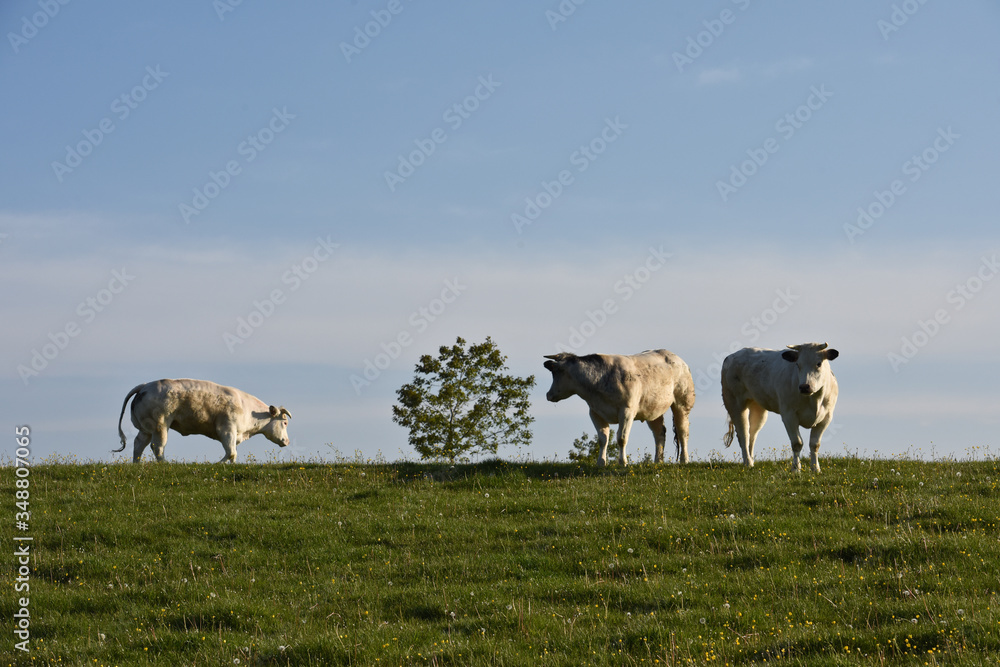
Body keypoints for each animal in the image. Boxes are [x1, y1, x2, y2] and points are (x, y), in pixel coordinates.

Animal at [115, 379, 291, 463]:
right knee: (157, 446)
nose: (287, 441)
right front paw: (217, 464)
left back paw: (136, 464)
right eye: (284, 422)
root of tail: (145, 386)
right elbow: (231, 452)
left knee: (139, 445)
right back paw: (165, 464)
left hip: (146, 428)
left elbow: (233, 455)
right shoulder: (227, 429)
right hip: (161, 425)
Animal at [543, 349, 695, 466]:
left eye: (556, 372)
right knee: (659, 433)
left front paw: (622, 462)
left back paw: (684, 460)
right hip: (653, 410)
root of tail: (676, 358)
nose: (548, 395)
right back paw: (658, 461)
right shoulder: (595, 412)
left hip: (682, 403)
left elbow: (621, 438)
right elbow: (602, 439)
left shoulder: (627, 410)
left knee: (683, 432)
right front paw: (601, 463)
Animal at [721, 342, 839, 472]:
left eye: (819, 363)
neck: (814, 400)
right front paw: (796, 469)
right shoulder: (789, 415)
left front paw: (816, 469)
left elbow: (815, 444)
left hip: (758, 407)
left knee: (752, 433)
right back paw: (748, 463)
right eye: (798, 364)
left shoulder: (826, 417)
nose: (804, 386)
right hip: (734, 403)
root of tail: (731, 356)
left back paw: (751, 461)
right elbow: (797, 443)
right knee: (743, 434)